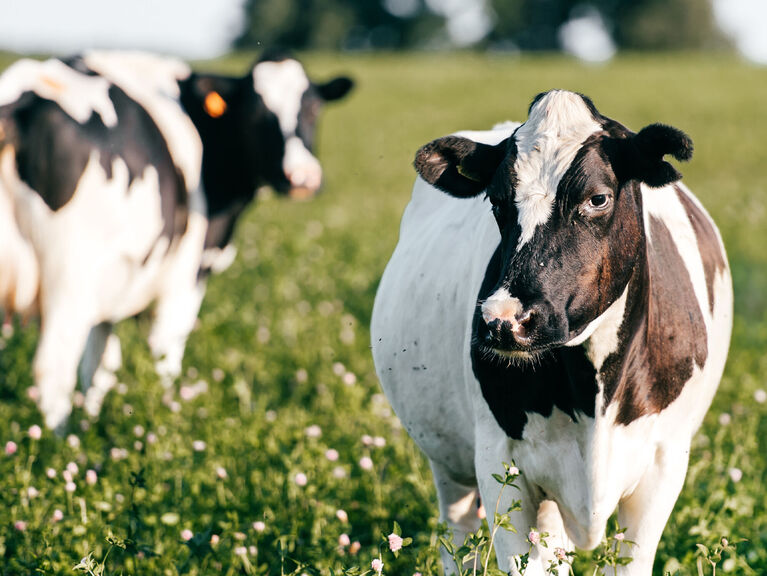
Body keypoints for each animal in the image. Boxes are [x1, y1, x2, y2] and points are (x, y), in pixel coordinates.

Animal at [0, 49, 352, 430]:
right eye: (255, 113)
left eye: (313, 108)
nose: (302, 177)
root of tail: (18, 100)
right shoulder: (186, 276)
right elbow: (165, 355)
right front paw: (167, 418)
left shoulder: (113, 284)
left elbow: (99, 368)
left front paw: (92, 424)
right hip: (68, 277)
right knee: (53, 368)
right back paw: (60, 442)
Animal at [372, 91, 732, 576]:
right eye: (496, 202)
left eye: (597, 198)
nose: (503, 320)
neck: (593, 394)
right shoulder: (500, 461)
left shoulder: (663, 463)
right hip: (450, 465)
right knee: (459, 537)